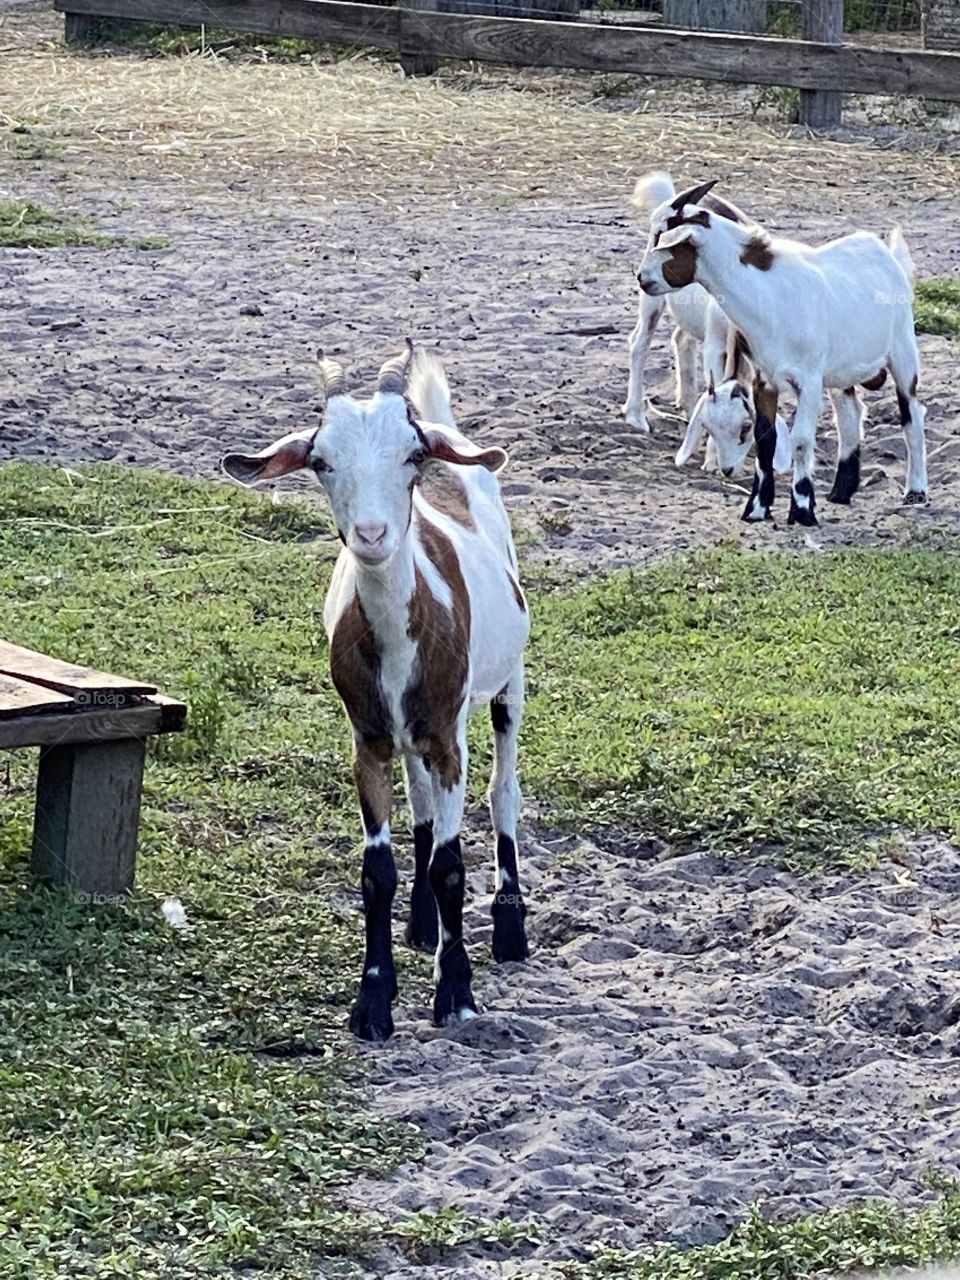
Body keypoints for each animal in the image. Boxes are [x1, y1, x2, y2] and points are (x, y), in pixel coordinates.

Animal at [222, 341, 530, 1042]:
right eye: (320, 461)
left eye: (409, 457)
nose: (370, 535)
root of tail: (451, 434)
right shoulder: (368, 739)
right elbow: (377, 871)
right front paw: (373, 1002)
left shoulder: (447, 738)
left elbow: (451, 865)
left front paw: (456, 993)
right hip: (410, 732)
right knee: (422, 803)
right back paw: (421, 925)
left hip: (508, 682)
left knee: (503, 790)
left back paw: (509, 929)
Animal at [638, 180, 928, 525]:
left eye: (669, 240)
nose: (643, 278)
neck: (770, 297)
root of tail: (884, 254)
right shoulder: (765, 378)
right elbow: (766, 440)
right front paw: (756, 508)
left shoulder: (809, 380)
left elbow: (801, 439)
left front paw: (802, 509)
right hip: (841, 372)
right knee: (850, 414)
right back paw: (841, 491)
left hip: (902, 352)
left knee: (912, 416)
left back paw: (915, 492)